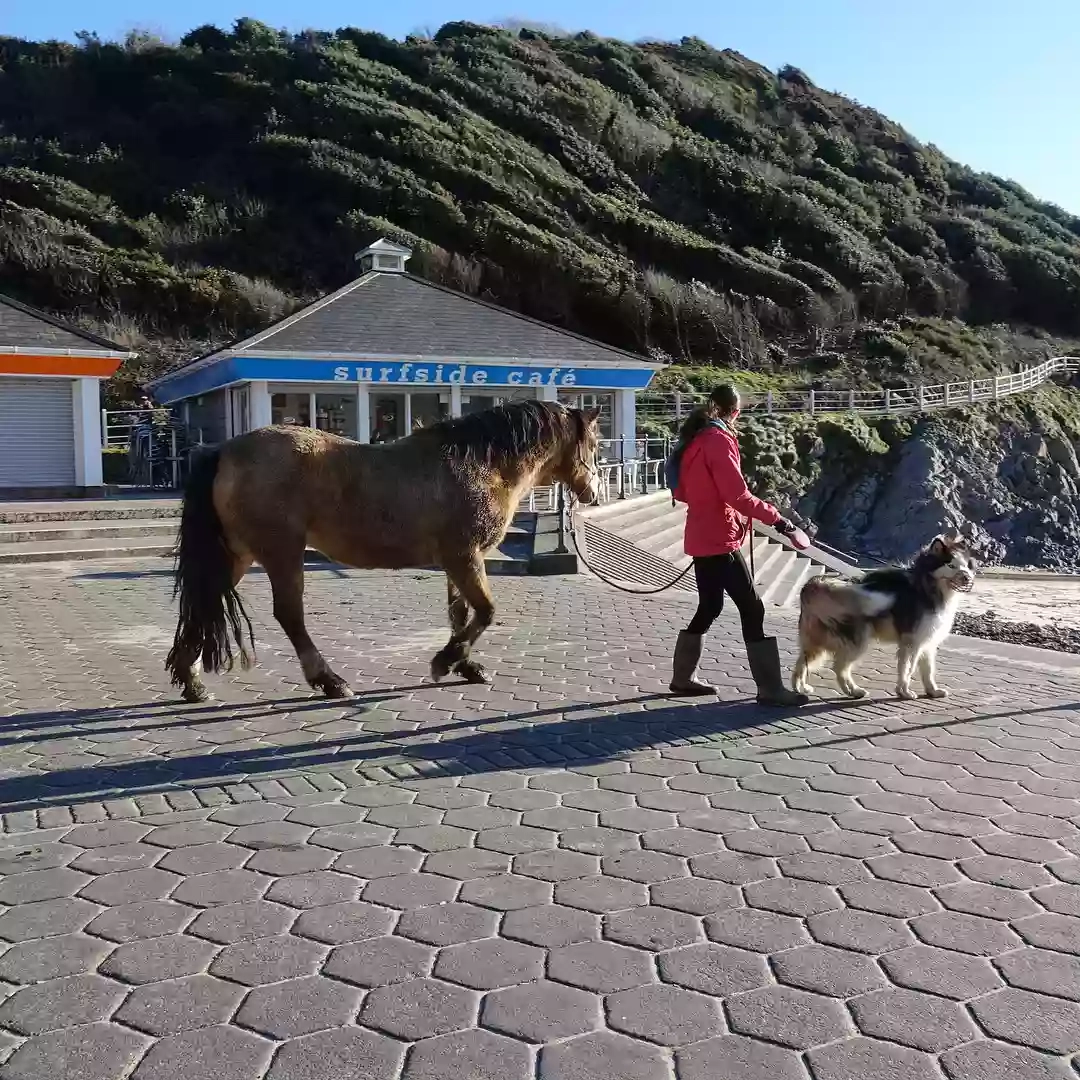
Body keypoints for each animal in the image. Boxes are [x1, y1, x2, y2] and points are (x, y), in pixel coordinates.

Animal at [164, 401, 604, 704]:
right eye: (595, 444)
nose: (594, 493)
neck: (481, 465)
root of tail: (224, 451)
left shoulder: (457, 561)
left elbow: (461, 613)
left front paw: (466, 665)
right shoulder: (464, 557)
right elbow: (485, 612)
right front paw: (446, 661)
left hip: (237, 555)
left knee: (203, 604)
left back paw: (192, 681)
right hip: (281, 552)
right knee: (289, 615)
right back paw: (329, 681)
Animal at [790, 535, 976, 704]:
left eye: (965, 565)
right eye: (951, 565)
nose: (967, 578)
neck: (926, 585)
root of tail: (813, 586)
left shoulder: (927, 641)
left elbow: (928, 670)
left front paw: (932, 691)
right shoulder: (912, 642)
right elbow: (908, 669)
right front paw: (904, 692)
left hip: (817, 643)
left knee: (802, 663)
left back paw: (801, 688)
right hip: (857, 642)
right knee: (839, 667)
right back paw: (853, 690)